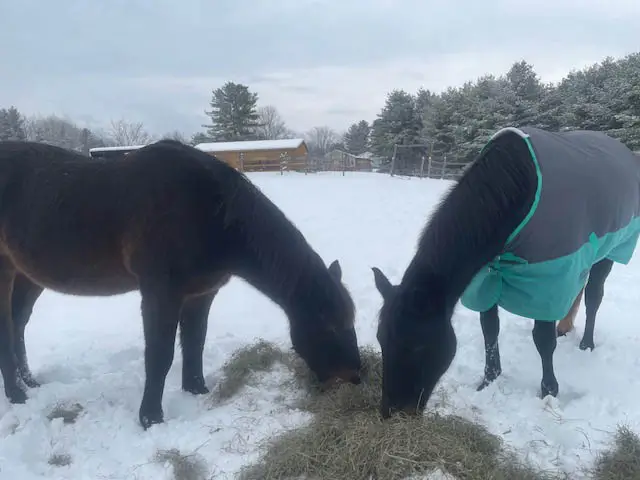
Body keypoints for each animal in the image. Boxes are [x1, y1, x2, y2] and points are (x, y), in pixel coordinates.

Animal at [0, 138, 360, 428]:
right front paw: (150, 418)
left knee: (18, 323)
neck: (209, 211)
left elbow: (194, 342)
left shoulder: (201, 293)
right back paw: (17, 394)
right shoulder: (160, 292)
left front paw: (196, 389)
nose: (356, 376)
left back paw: (29, 382)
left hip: (28, 275)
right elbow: (160, 354)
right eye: (329, 327)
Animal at [372, 125, 636, 418]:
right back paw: (565, 328)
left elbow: (542, 339)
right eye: (381, 339)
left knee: (593, 296)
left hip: (611, 250)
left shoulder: (549, 275)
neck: (517, 187)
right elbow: (490, 328)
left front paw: (549, 391)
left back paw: (586, 344)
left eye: (418, 346)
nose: (391, 411)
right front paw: (489, 379)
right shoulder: (489, 275)